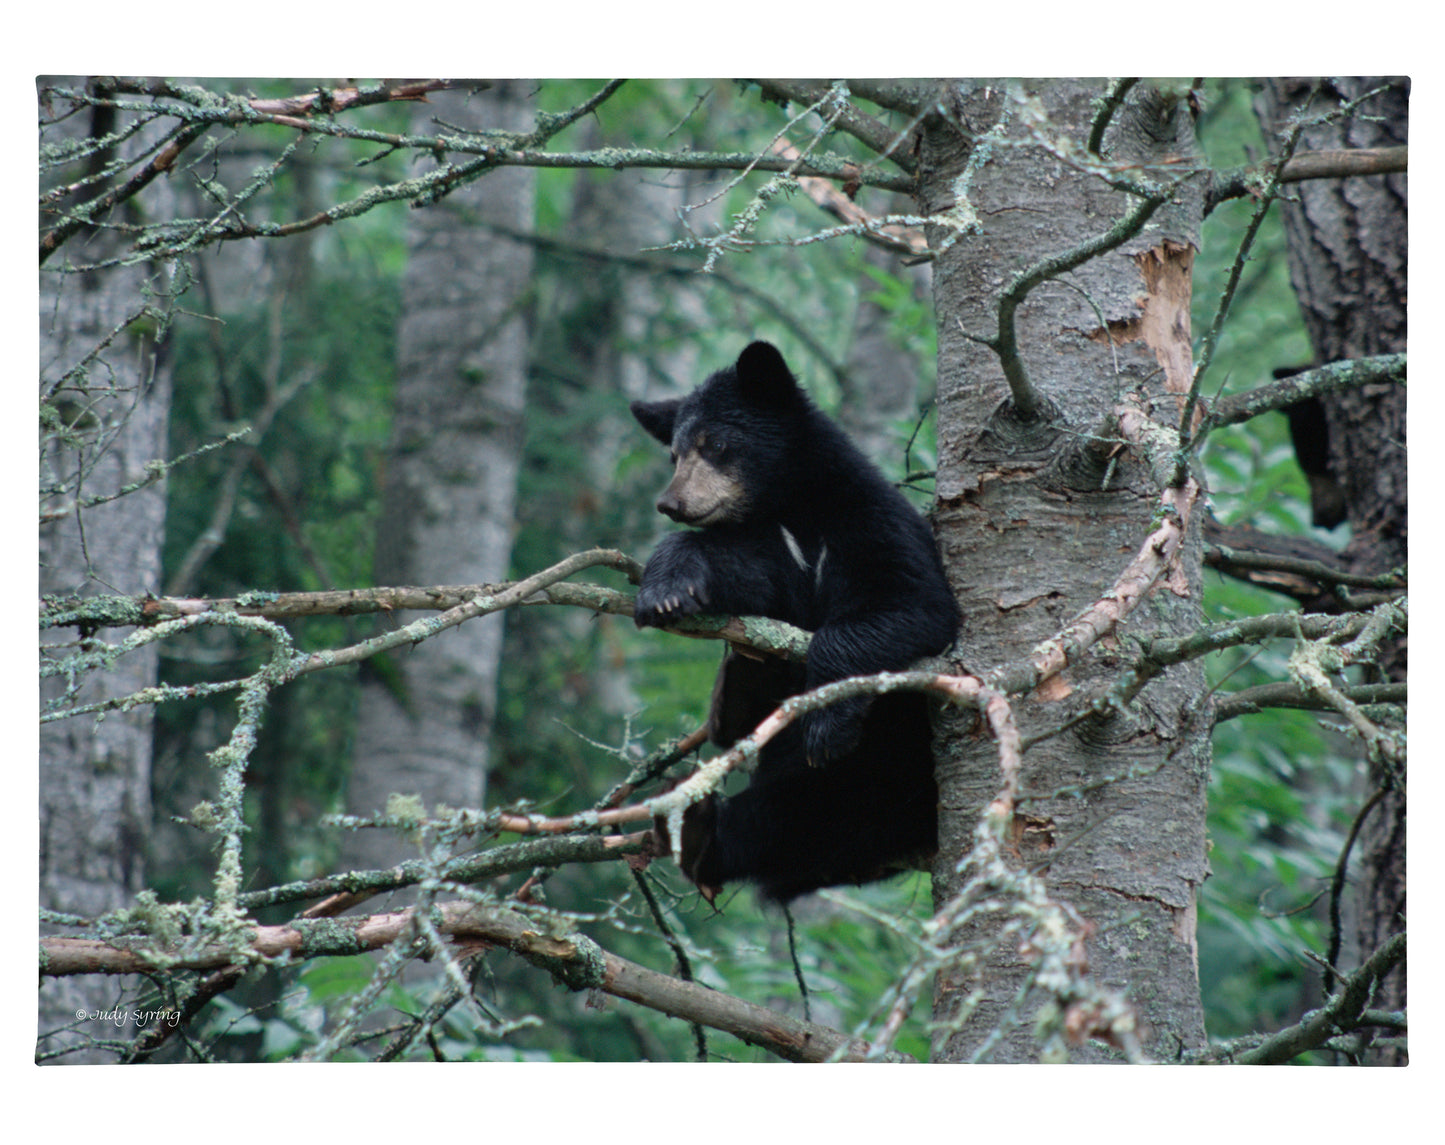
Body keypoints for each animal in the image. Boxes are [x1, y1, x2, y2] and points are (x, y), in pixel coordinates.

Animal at [631, 340, 960, 903]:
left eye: (716, 443)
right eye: (674, 454)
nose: (670, 503)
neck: (792, 504)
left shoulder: (866, 521)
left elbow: (913, 604)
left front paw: (827, 721)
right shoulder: (773, 546)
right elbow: (743, 573)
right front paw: (668, 590)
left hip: (891, 762)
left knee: (808, 806)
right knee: (785, 820)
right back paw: (697, 820)